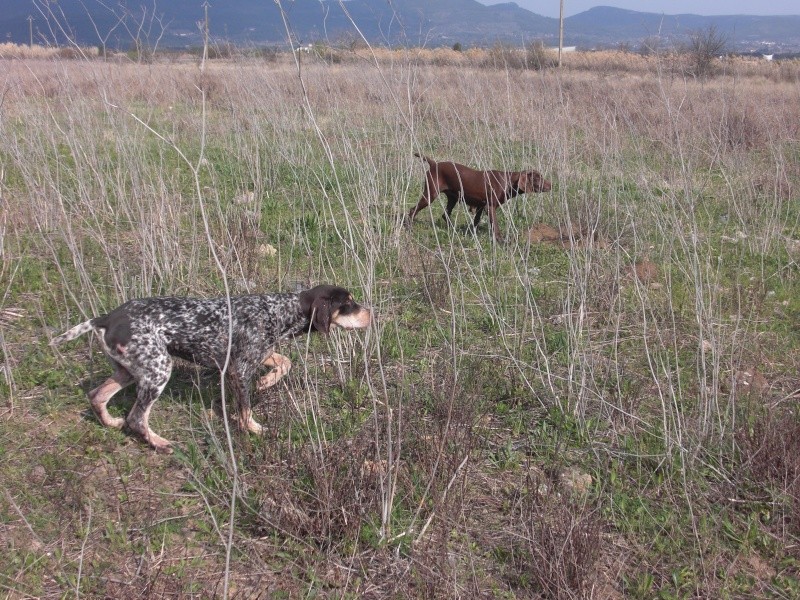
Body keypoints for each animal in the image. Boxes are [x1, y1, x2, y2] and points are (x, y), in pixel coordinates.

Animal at [406, 152, 552, 241]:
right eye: (538, 178)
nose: (551, 185)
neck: (507, 182)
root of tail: (434, 164)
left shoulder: (481, 206)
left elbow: (475, 222)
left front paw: (471, 234)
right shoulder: (490, 207)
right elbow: (495, 226)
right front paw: (500, 240)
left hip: (453, 198)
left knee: (445, 214)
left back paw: (453, 229)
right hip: (430, 194)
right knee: (413, 210)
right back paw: (409, 227)